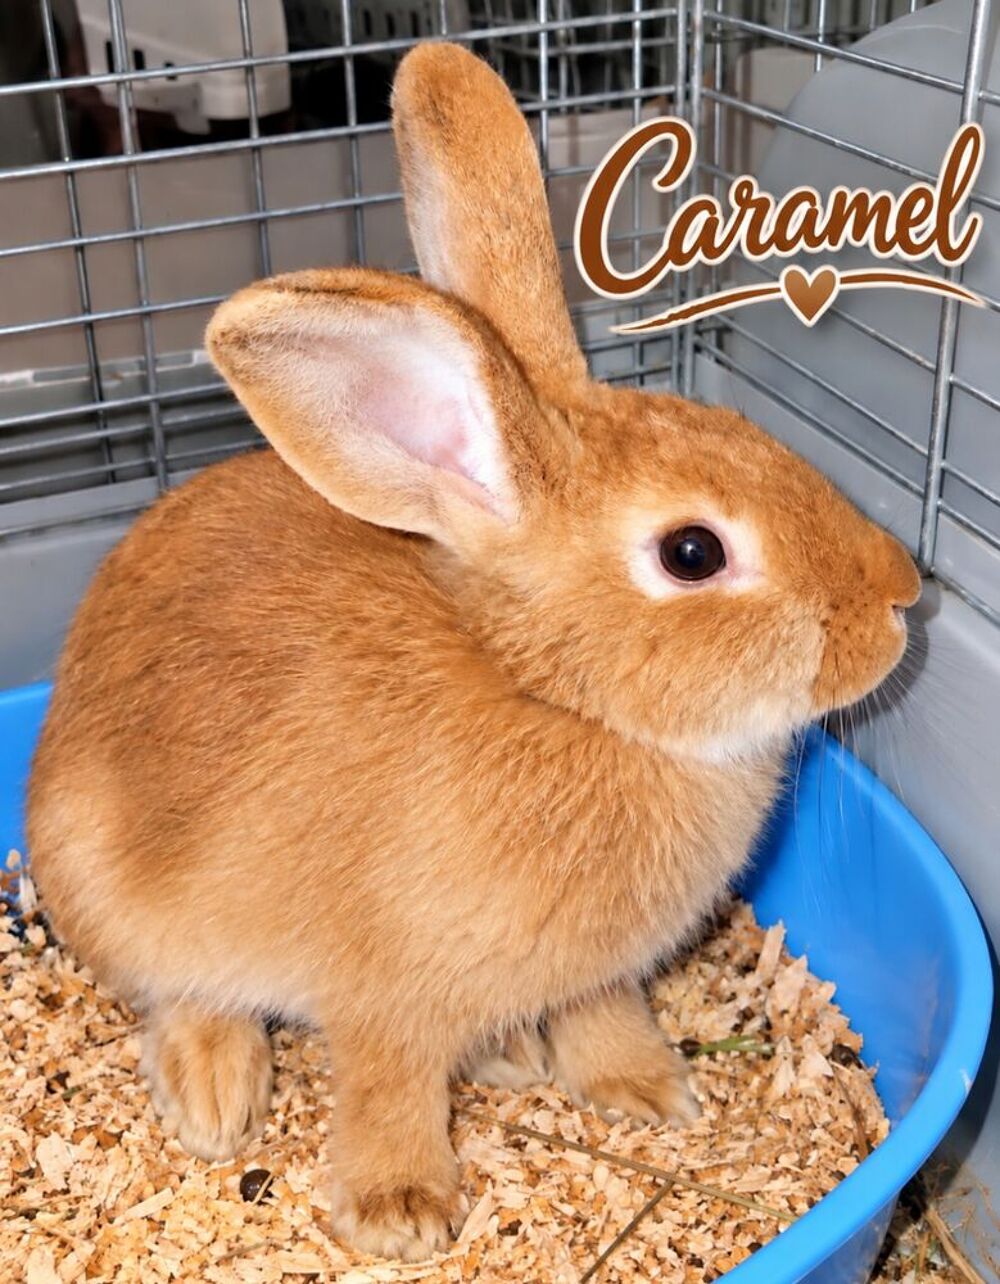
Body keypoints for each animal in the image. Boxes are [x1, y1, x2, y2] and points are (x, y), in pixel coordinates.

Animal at [27, 42, 920, 1263]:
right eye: (692, 552)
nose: (902, 598)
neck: (554, 694)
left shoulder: (601, 973)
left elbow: (603, 1016)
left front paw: (653, 1094)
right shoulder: (389, 995)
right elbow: (389, 1089)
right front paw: (400, 1214)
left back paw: (507, 1053)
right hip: (117, 898)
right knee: (180, 994)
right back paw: (218, 1097)